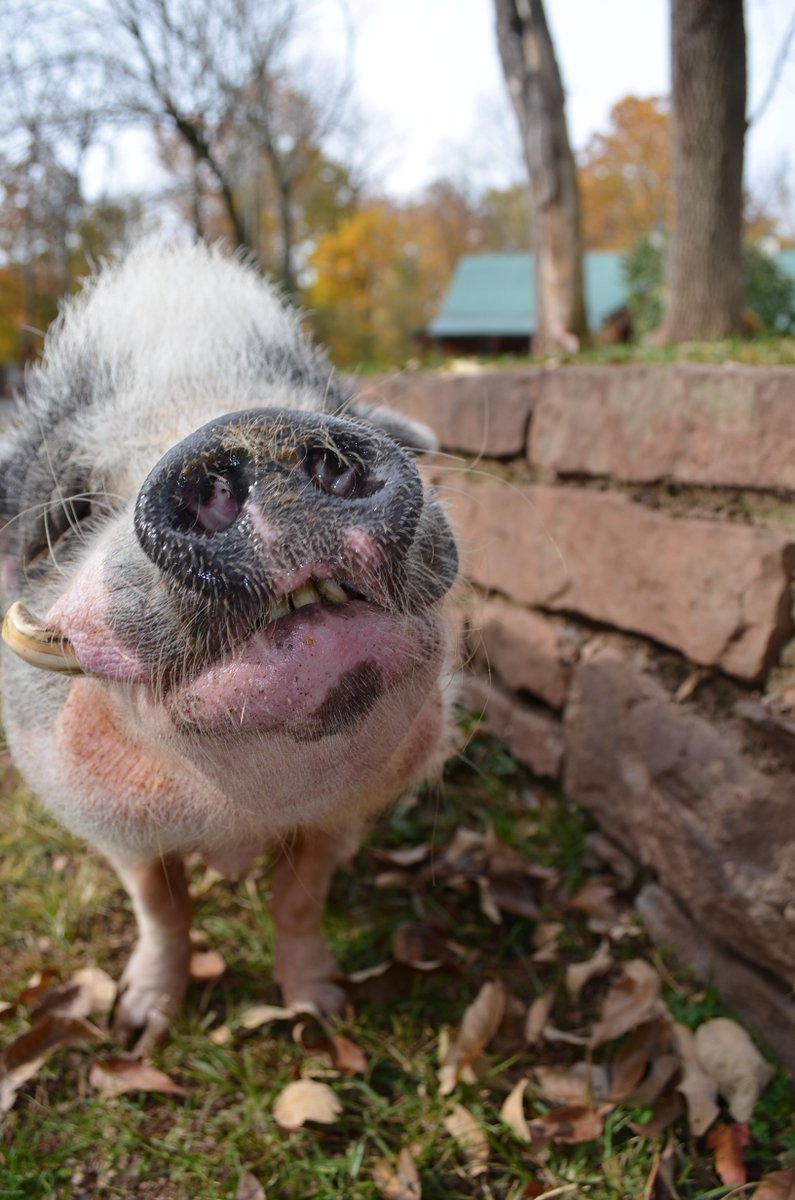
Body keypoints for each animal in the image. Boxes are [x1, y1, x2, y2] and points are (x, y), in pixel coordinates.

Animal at [0, 243, 457, 1037]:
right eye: (69, 512)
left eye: (330, 410)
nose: (252, 428)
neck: (242, 814)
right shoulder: (114, 829)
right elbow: (162, 909)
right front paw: (140, 1024)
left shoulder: (338, 819)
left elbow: (298, 901)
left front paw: (319, 1013)